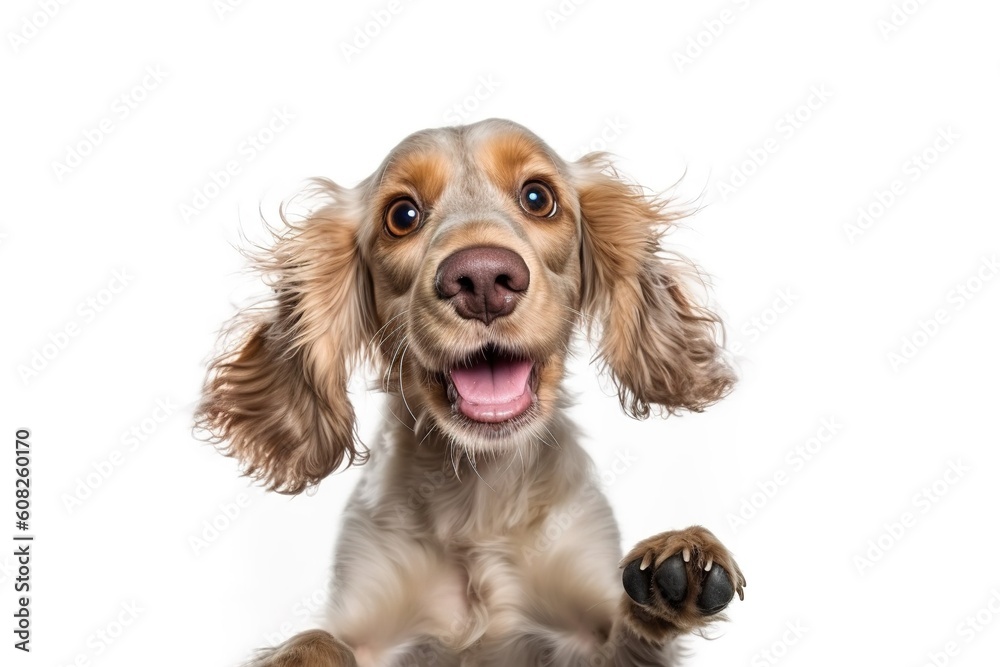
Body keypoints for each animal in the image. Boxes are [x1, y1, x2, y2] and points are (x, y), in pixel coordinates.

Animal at [195, 117, 744, 664]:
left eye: (538, 197)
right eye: (402, 215)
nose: (482, 279)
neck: (479, 498)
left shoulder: (584, 638)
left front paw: (677, 561)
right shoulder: (374, 634)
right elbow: (318, 639)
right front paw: (299, 653)